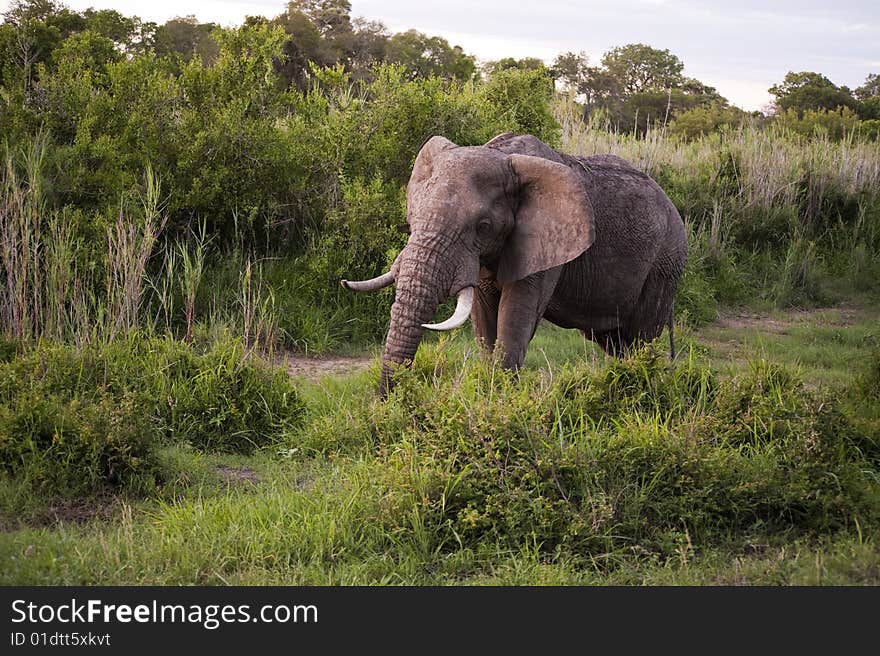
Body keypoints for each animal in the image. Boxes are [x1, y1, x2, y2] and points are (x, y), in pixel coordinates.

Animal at [340, 129, 684, 394]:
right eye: (413, 218)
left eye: (483, 226)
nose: (386, 403)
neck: (502, 156)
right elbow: (483, 317)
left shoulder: (544, 242)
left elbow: (515, 316)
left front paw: (499, 396)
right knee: (614, 341)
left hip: (665, 264)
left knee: (642, 338)